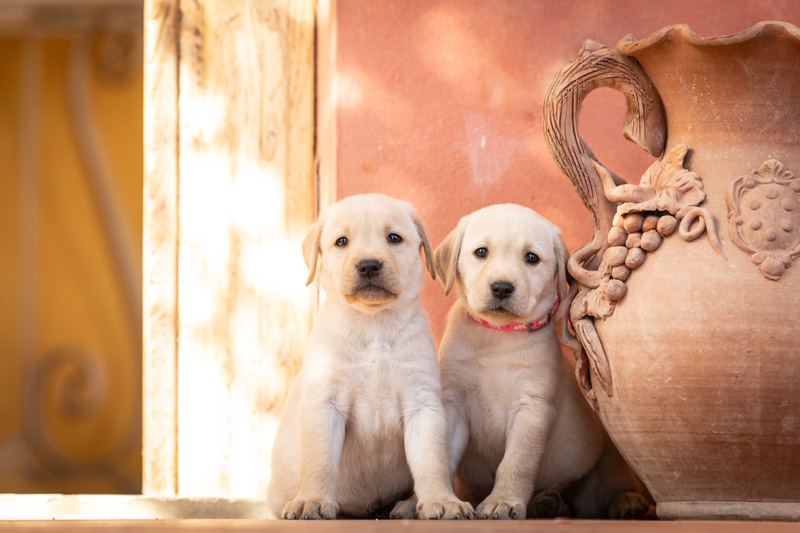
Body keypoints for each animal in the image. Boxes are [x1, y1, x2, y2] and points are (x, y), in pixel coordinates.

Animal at [268, 192, 472, 520]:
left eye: (394, 238)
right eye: (341, 241)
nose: (368, 266)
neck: (374, 326)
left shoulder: (422, 403)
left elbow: (432, 461)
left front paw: (442, 501)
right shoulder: (324, 402)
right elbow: (320, 460)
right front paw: (312, 500)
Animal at [434, 205, 648, 520]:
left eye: (532, 258)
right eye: (481, 252)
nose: (501, 288)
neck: (498, 335)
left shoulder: (532, 408)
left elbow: (515, 463)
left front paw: (504, 500)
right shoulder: (453, 404)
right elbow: (442, 456)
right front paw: (429, 501)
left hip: (608, 449)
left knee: (612, 483)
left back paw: (626, 501)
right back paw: (547, 503)